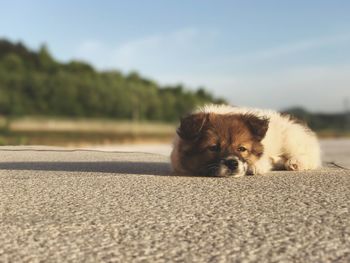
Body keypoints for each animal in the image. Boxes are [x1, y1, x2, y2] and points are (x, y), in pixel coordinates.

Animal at [171, 104, 322, 177]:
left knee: (310, 156)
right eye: (213, 148)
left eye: (242, 149)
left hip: (291, 139)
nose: (232, 163)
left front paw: (254, 166)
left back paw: (295, 162)